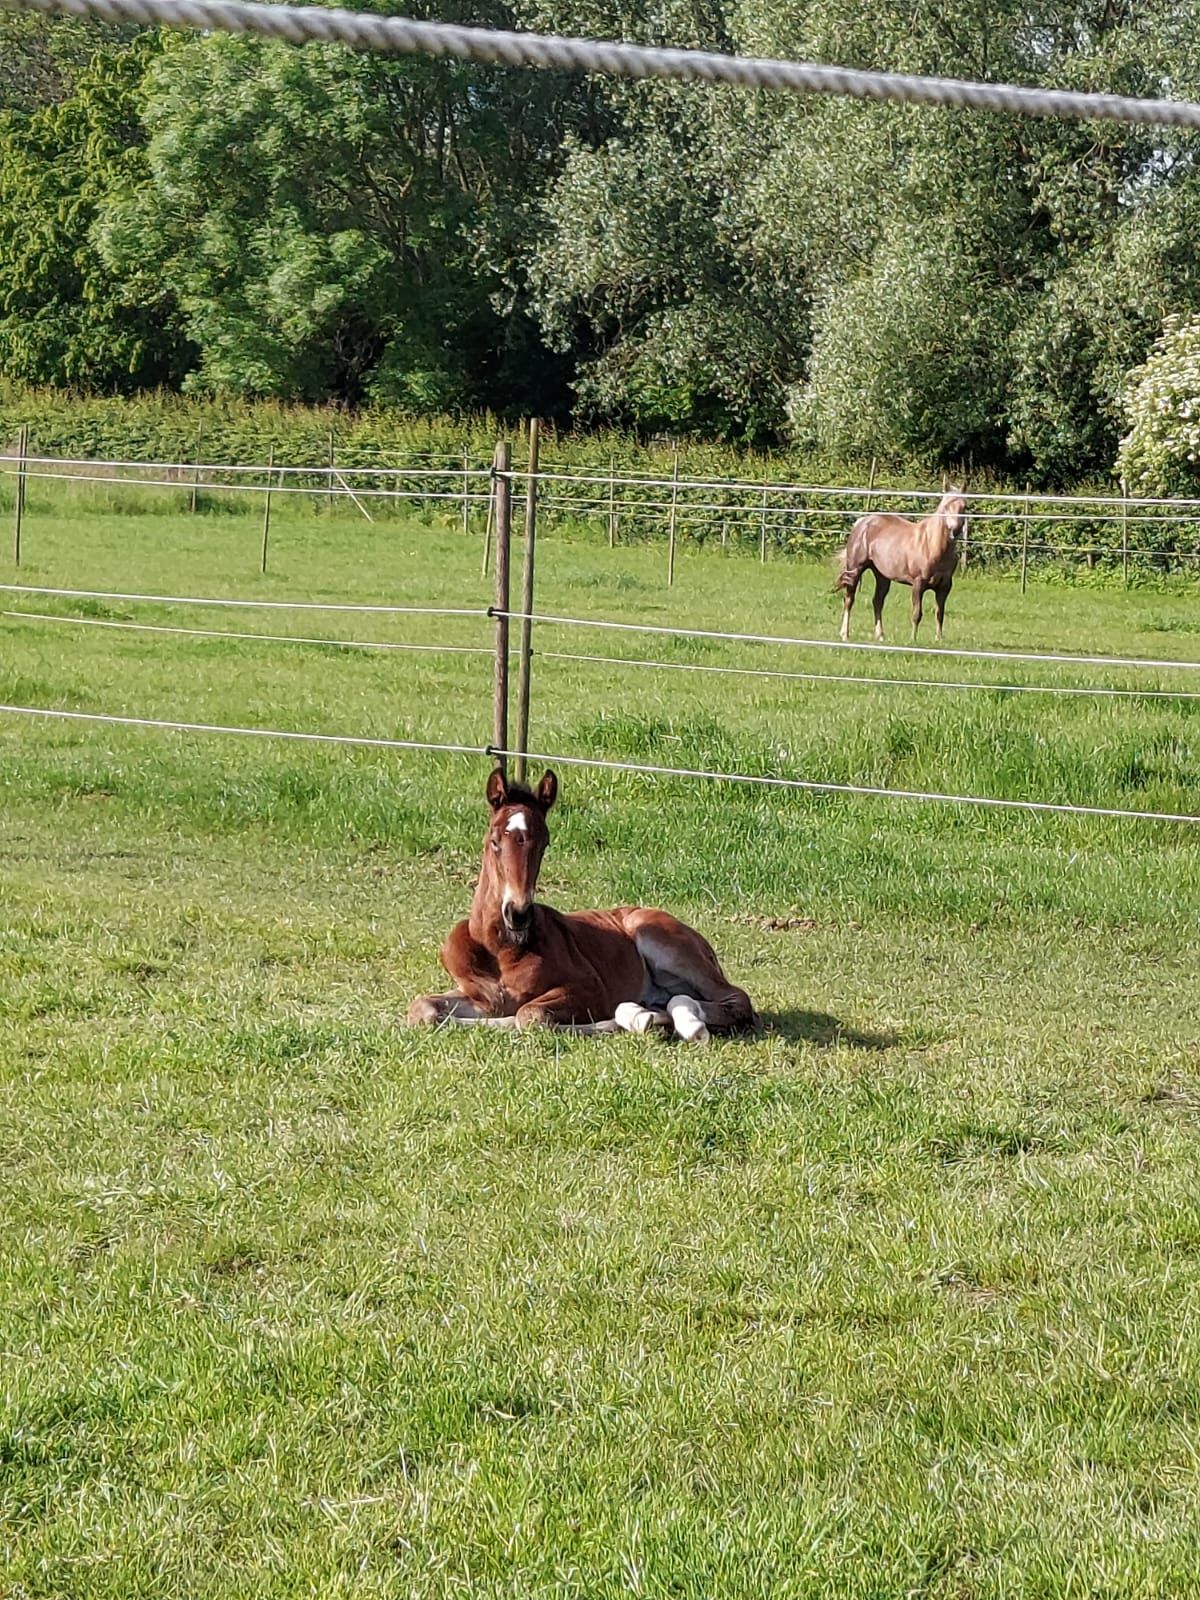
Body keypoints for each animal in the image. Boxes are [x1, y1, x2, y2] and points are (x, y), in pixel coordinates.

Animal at [407, 768, 757, 1044]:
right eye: (494, 841)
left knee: (737, 999)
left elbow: (529, 1016)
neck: (500, 949)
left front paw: (627, 1022)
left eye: (545, 842)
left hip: (661, 942)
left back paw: (666, 1019)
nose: (518, 914)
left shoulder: (590, 987)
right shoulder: (481, 995)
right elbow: (422, 1009)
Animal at [835, 489, 967, 642]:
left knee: (877, 601)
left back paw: (880, 636)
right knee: (849, 600)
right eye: (945, 507)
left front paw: (938, 639)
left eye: (964, 507)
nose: (955, 531)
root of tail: (861, 522)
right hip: (854, 569)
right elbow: (917, 613)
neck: (932, 546)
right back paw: (845, 634)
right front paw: (913, 639)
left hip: (882, 576)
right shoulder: (918, 584)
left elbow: (940, 614)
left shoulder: (945, 586)